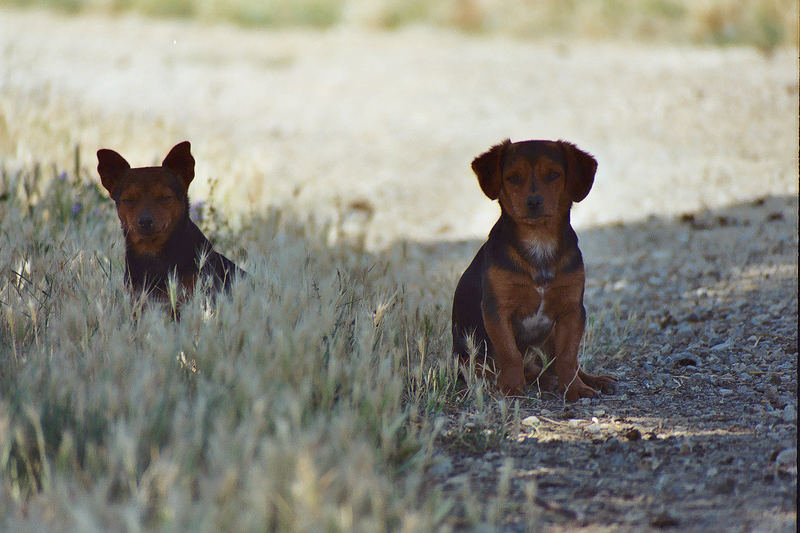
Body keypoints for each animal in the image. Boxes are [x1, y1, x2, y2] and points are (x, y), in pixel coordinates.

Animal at [450, 137, 612, 400]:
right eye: (513, 177)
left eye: (554, 175)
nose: (534, 202)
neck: (539, 242)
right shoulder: (497, 310)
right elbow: (510, 354)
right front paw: (511, 388)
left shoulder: (572, 310)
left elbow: (568, 357)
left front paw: (575, 388)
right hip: (468, 359)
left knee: (561, 364)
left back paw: (592, 380)